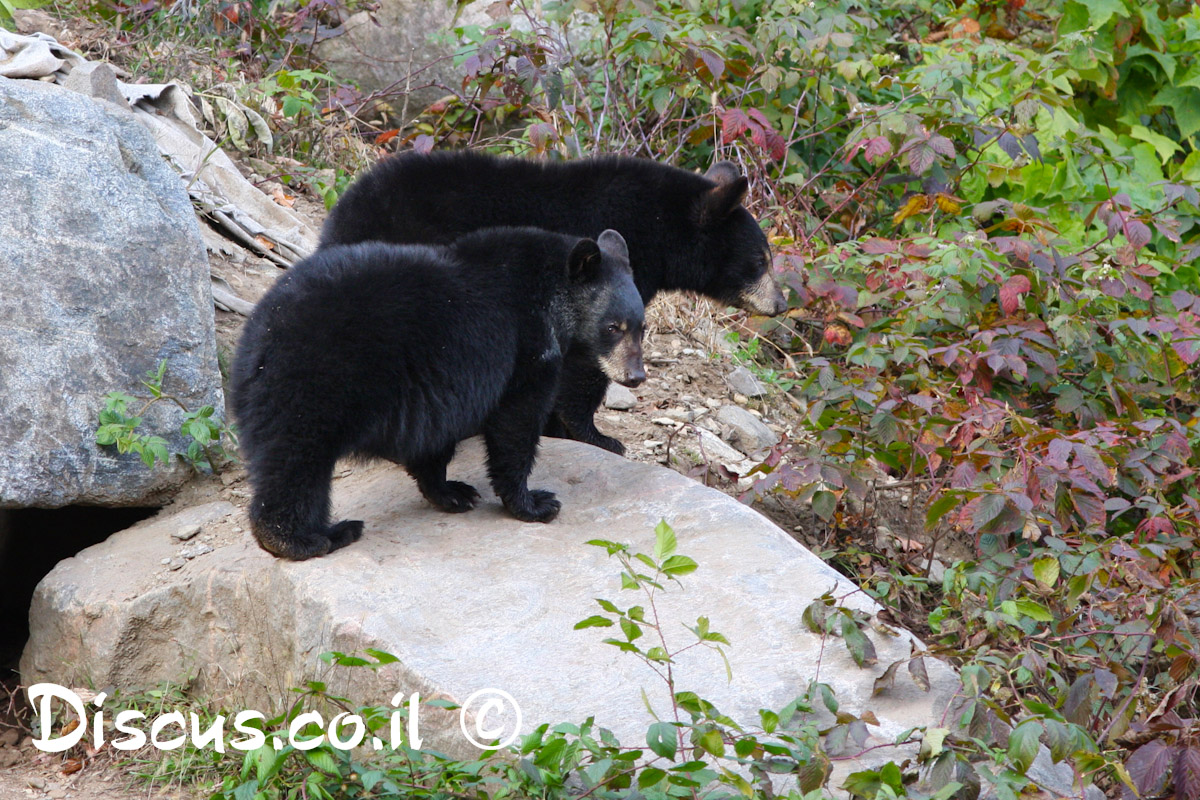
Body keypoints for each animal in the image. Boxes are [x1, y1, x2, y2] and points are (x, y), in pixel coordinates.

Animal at [234, 227, 648, 561]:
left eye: (642, 327)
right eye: (613, 326)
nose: (636, 376)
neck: (550, 295)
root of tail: (259, 335)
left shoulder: (438, 388)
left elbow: (435, 440)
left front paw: (451, 491)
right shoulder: (525, 347)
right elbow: (516, 422)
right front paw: (534, 503)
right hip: (315, 380)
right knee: (299, 460)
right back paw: (311, 538)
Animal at [319, 148, 787, 455]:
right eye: (761, 260)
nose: (781, 304)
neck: (659, 227)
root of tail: (345, 215)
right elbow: (587, 362)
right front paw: (597, 436)